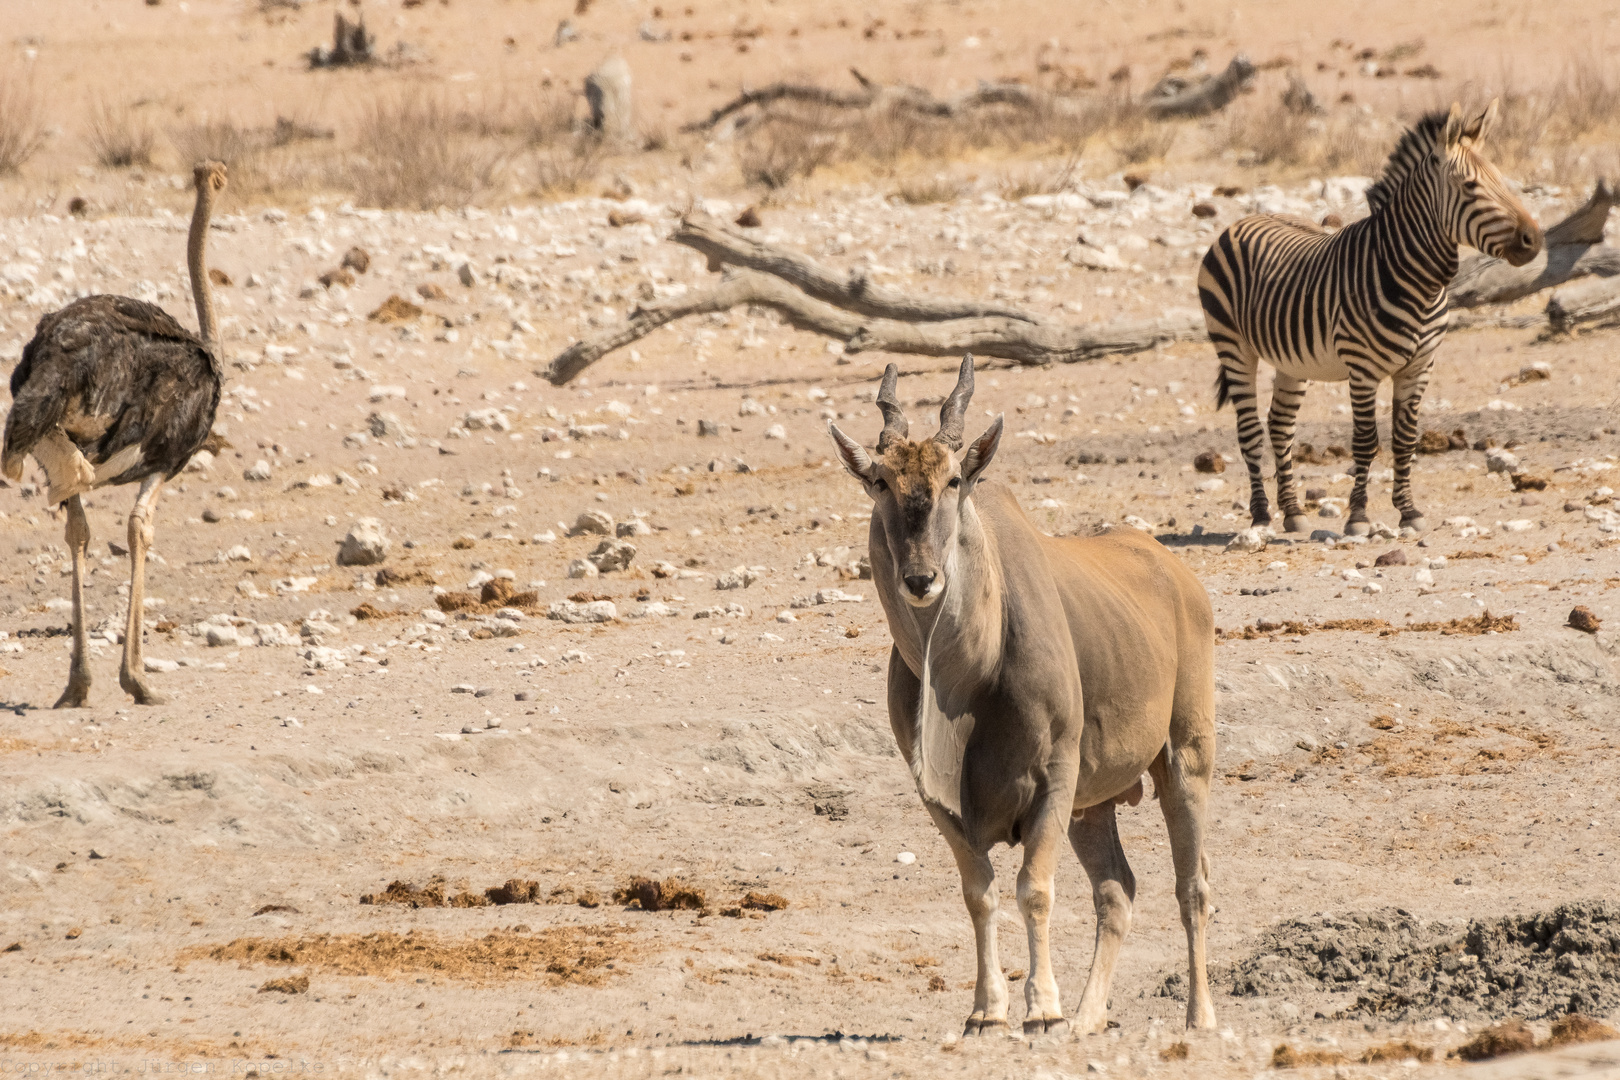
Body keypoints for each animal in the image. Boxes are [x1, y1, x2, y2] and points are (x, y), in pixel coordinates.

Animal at [829, 359, 1218, 1036]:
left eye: (955, 479)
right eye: (879, 481)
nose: (921, 578)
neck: (970, 677)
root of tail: (1177, 575)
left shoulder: (1054, 779)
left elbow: (1033, 888)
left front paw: (1041, 1008)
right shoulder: (940, 799)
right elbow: (979, 891)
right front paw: (987, 1011)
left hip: (1183, 760)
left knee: (1190, 887)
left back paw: (1198, 1017)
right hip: (1096, 804)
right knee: (1117, 891)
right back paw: (1089, 1018)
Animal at [1198, 102, 1535, 537]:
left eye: (1502, 180)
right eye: (1470, 187)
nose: (1535, 240)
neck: (1413, 280)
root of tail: (1243, 220)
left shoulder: (1419, 367)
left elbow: (1405, 439)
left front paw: (1409, 511)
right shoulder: (1362, 369)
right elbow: (1365, 440)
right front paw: (1358, 516)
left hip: (1292, 361)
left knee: (1280, 427)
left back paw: (1292, 511)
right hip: (1233, 346)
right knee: (1251, 432)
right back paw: (1260, 514)